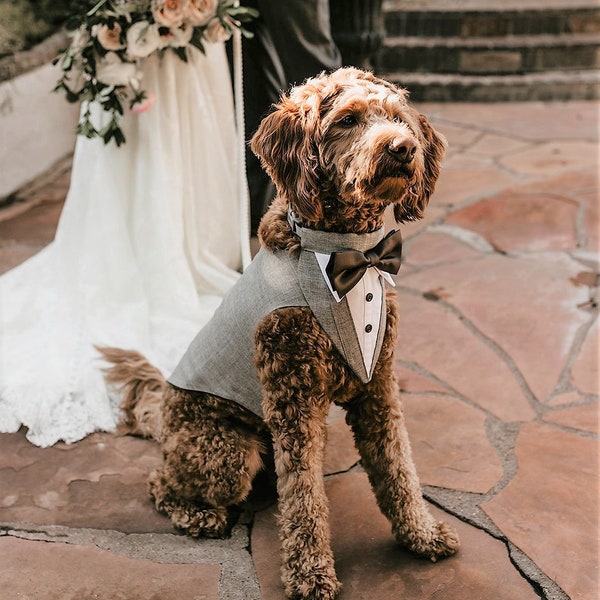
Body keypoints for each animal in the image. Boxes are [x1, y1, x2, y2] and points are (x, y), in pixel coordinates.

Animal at [101, 68, 460, 600]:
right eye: (347, 120)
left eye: (398, 118)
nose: (402, 148)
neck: (346, 253)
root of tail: (164, 417)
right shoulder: (294, 401)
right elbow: (305, 500)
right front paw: (310, 573)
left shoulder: (378, 386)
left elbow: (398, 466)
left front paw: (421, 533)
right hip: (228, 451)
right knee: (162, 482)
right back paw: (198, 514)